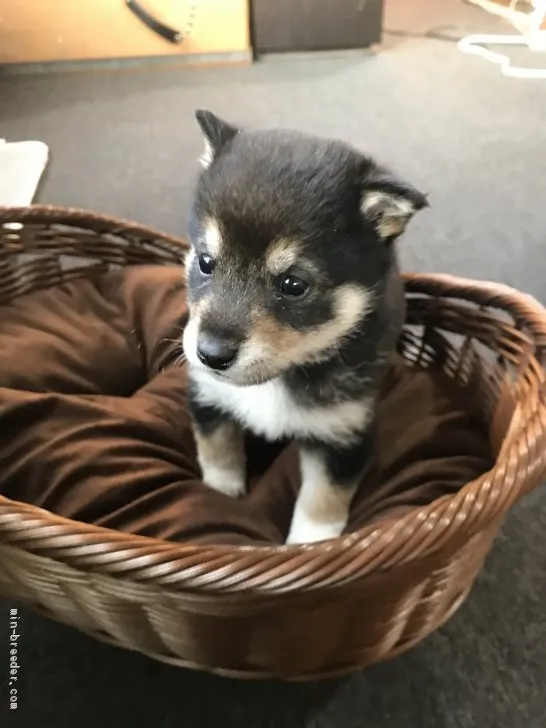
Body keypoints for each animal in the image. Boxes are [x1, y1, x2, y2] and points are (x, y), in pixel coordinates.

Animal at [183, 111, 424, 544]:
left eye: (294, 285)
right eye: (206, 262)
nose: (210, 354)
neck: (279, 376)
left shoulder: (344, 435)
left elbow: (322, 502)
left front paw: (309, 545)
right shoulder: (208, 397)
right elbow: (217, 451)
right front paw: (222, 492)